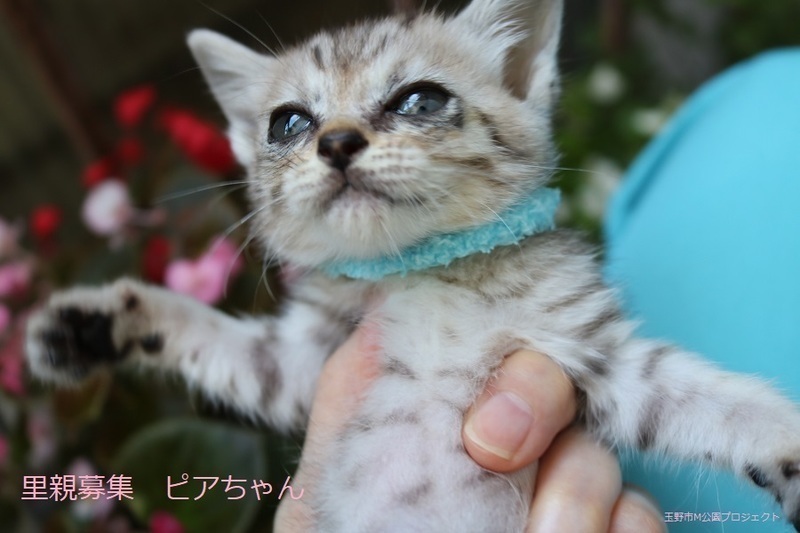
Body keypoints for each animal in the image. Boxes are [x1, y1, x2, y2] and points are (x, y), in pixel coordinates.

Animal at [25, 0, 800, 530]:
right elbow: (219, 342)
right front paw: (92, 323)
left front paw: (786, 440)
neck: (425, 270)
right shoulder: (302, 368)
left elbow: (713, 399)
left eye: (420, 99)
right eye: (288, 122)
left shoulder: (594, 353)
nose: (336, 142)